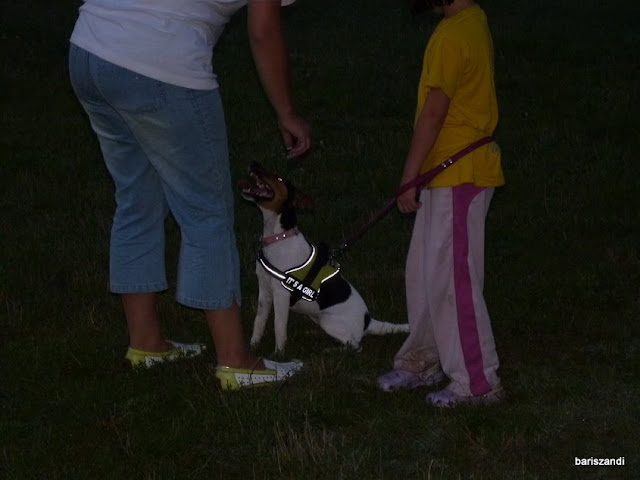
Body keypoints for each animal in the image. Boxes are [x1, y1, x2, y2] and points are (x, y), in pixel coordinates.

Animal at [238, 162, 409, 351]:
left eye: (279, 178)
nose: (254, 163)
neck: (278, 237)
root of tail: (368, 321)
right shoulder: (264, 293)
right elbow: (259, 323)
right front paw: (253, 346)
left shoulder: (280, 296)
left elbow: (279, 328)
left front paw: (279, 353)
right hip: (319, 318)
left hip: (329, 321)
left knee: (355, 346)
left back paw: (332, 349)